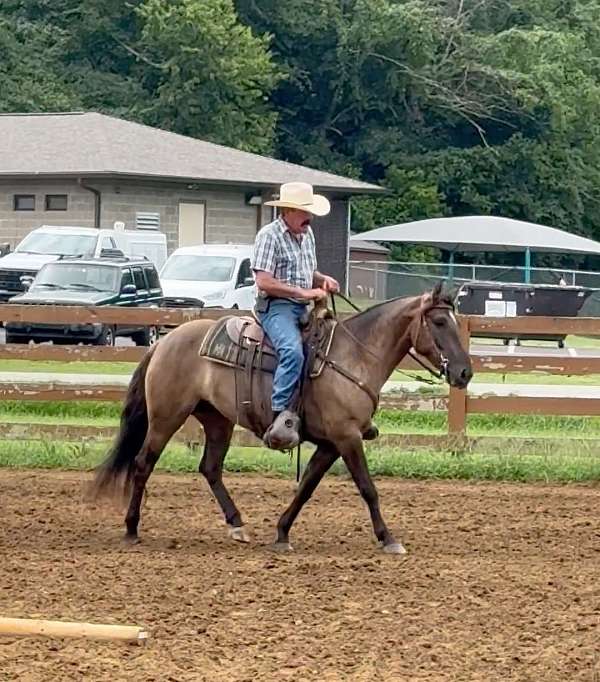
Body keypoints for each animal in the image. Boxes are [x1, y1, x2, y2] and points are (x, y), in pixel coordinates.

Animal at [90, 282, 474, 552]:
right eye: (440, 321)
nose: (465, 372)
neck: (353, 357)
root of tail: (162, 342)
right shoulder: (347, 437)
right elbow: (368, 488)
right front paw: (388, 538)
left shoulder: (330, 444)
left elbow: (306, 488)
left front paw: (282, 532)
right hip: (166, 417)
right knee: (143, 464)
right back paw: (131, 528)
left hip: (217, 419)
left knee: (210, 468)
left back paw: (237, 524)